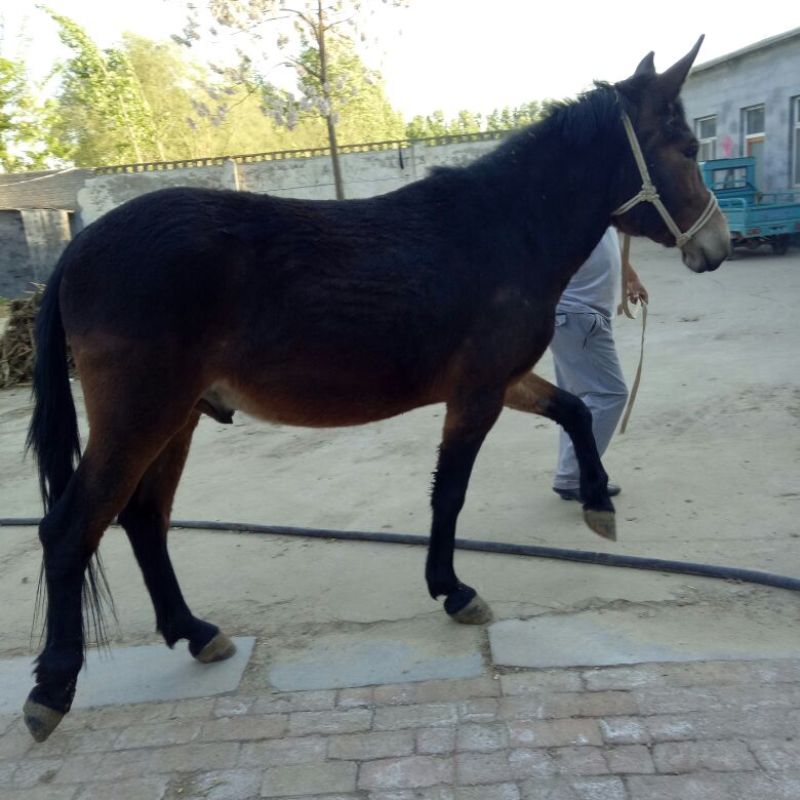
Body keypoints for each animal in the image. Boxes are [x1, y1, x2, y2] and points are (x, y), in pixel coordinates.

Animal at [23, 37, 729, 741]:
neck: (504, 229)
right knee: (70, 528)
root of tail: (79, 246)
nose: (718, 246)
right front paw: (454, 590)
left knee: (144, 517)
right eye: (688, 149)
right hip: (141, 414)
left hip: (178, 416)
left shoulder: (502, 380)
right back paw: (52, 688)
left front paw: (597, 505)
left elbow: (576, 411)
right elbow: (450, 495)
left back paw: (194, 632)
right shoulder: (476, 394)